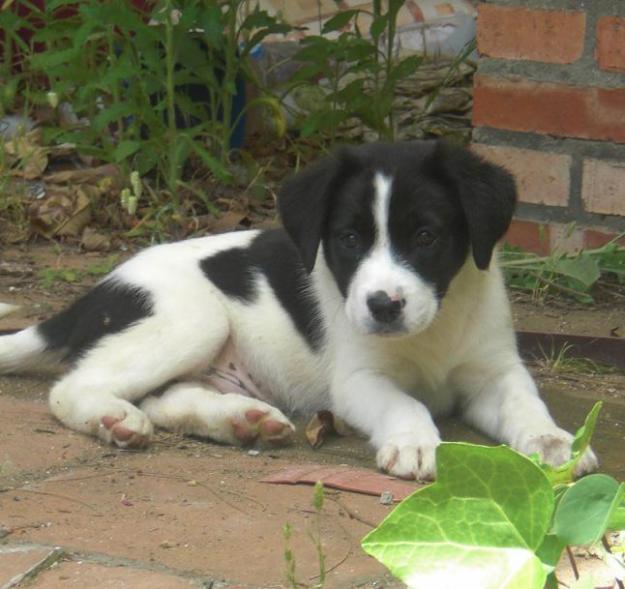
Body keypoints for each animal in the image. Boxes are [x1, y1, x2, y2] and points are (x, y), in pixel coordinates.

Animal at [0, 140, 596, 480]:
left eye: (426, 236)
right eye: (349, 239)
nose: (383, 306)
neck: (436, 325)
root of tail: (94, 294)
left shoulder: (495, 371)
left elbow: (526, 405)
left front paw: (556, 443)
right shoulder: (358, 381)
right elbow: (405, 403)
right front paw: (416, 443)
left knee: (167, 398)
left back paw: (242, 421)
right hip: (192, 320)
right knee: (73, 387)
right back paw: (114, 418)